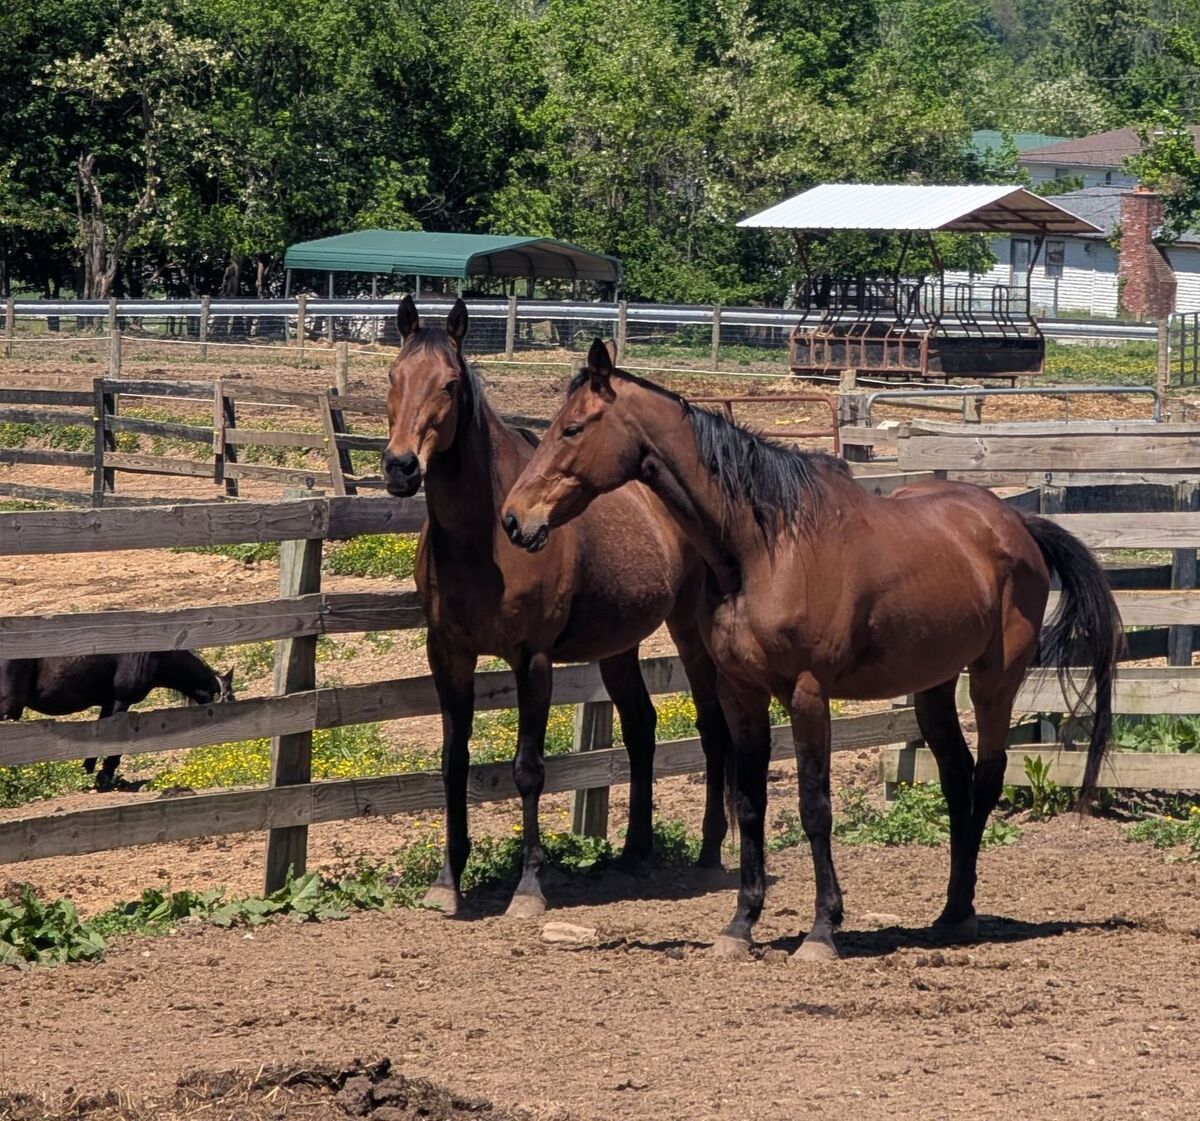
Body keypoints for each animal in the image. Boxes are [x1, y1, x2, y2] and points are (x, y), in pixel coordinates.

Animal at [0, 652, 235, 791]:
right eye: (230, 699)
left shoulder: (107, 704)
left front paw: (88, 774)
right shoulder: (121, 702)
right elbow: (115, 746)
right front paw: (104, 778)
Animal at [381, 296, 734, 918]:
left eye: (449, 383)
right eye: (395, 377)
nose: (400, 468)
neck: (485, 538)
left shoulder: (533, 659)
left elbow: (528, 770)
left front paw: (528, 889)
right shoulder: (447, 655)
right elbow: (453, 762)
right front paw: (448, 882)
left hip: (690, 631)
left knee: (711, 726)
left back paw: (710, 852)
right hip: (620, 646)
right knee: (640, 725)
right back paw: (634, 853)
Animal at [501, 340, 1122, 960]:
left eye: (572, 428)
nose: (513, 518)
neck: (765, 549)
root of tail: (1015, 521)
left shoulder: (807, 693)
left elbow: (814, 807)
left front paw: (822, 930)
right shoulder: (741, 694)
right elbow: (750, 803)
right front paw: (740, 925)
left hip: (996, 679)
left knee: (988, 777)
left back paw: (960, 910)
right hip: (934, 686)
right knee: (957, 778)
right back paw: (952, 911)